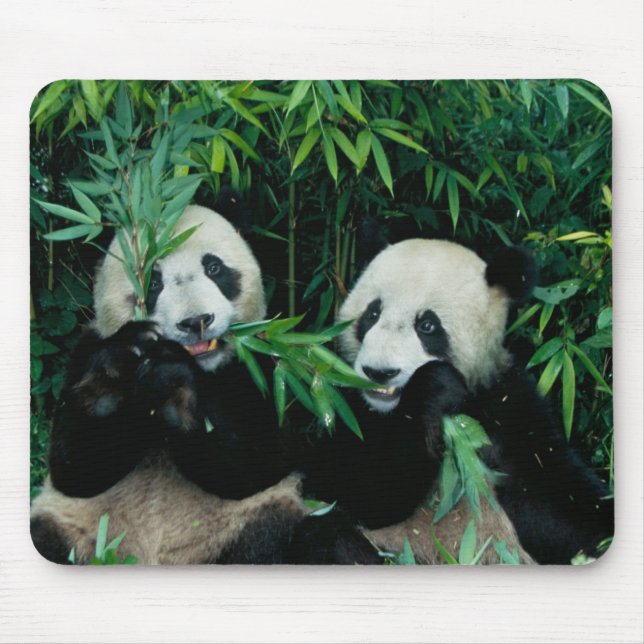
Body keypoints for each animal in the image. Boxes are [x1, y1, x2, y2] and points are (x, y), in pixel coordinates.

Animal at [30, 193, 376, 565]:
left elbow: (257, 462)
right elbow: (74, 469)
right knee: (47, 535)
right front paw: (116, 374)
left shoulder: (266, 367)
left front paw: (173, 383)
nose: (196, 321)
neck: (205, 367)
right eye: (153, 281)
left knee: (321, 535)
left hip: (255, 523)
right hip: (77, 534)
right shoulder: (85, 351)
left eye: (214, 268)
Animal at [298, 223, 613, 565]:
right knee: (326, 536)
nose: (379, 372)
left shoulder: (507, 407)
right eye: (372, 314)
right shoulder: (339, 401)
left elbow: (556, 495)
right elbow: (347, 487)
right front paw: (435, 386)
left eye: (427, 325)